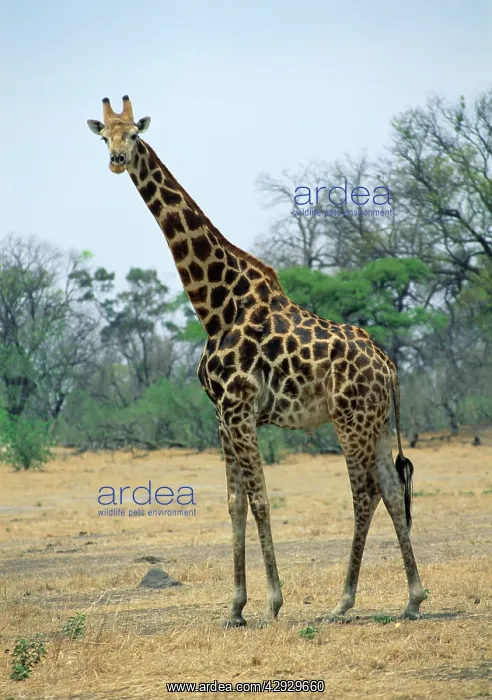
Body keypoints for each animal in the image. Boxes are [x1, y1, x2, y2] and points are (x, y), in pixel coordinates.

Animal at [87, 96, 427, 627]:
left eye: (136, 135)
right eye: (105, 136)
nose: (118, 160)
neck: (215, 306)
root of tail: (390, 368)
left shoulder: (241, 408)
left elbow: (262, 500)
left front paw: (272, 601)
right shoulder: (221, 415)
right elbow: (235, 504)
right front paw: (234, 607)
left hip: (349, 419)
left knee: (364, 493)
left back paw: (344, 600)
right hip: (372, 422)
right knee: (392, 490)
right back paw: (412, 597)